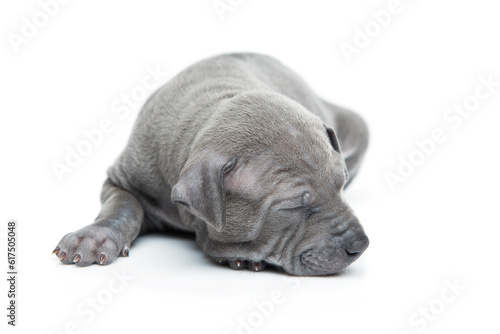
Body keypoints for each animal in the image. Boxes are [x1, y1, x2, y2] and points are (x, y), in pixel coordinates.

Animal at [52, 52, 370, 276]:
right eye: (292, 207)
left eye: (340, 185)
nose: (361, 245)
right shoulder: (124, 177)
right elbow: (122, 206)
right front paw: (92, 237)